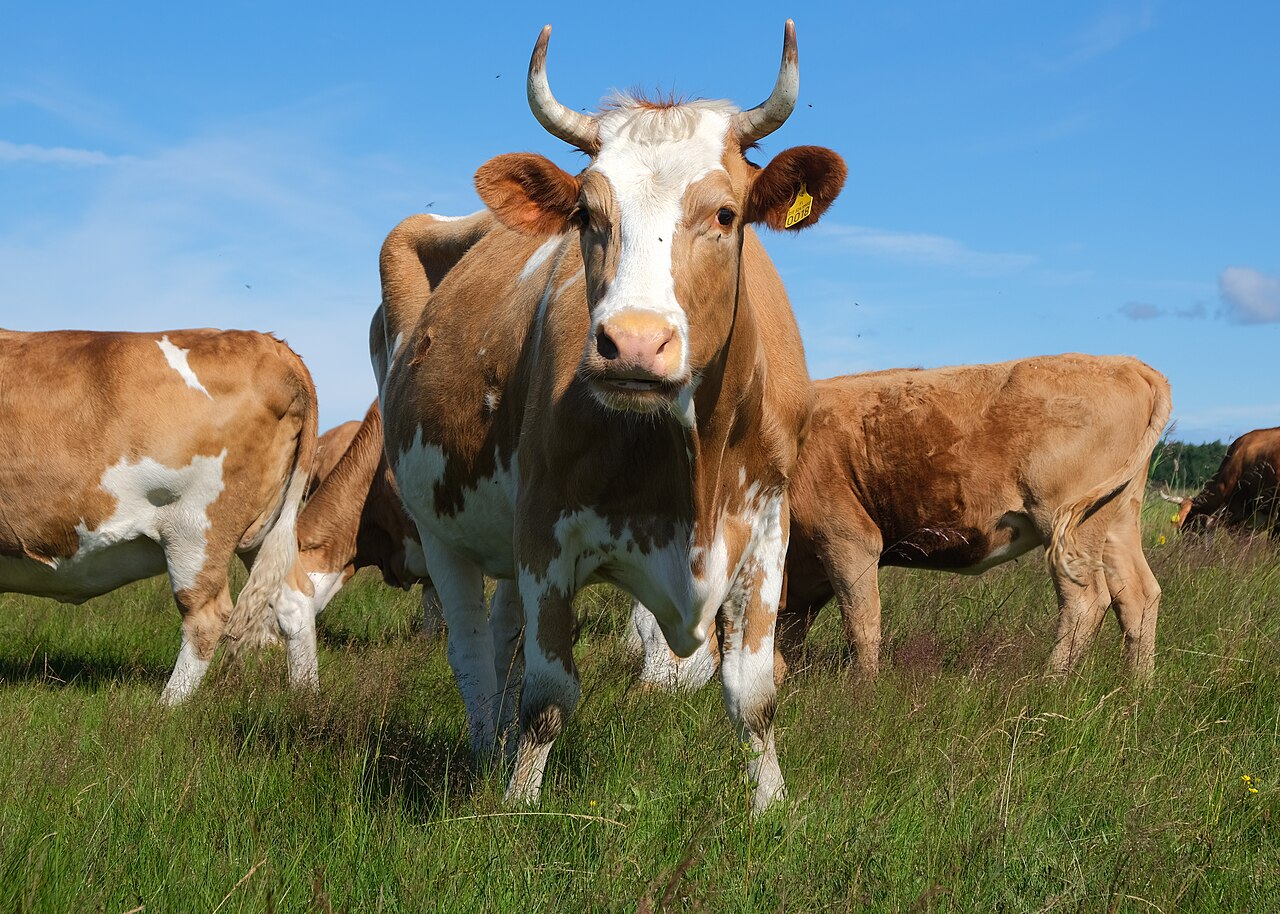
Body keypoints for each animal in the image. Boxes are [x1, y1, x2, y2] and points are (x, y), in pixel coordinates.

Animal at [0, 328, 319, 702]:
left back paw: (167, 706)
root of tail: (269, 343)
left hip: (195, 530)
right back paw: (305, 695)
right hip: (265, 531)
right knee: (296, 599)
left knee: (207, 616)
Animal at [360, 22, 847, 812]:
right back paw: (483, 754)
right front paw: (516, 807)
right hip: (444, 532)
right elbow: (550, 695)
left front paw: (772, 807)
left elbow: (753, 693)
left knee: (504, 636)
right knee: (472, 654)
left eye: (725, 214)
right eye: (587, 215)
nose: (635, 344)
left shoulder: (768, 523)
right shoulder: (545, 529)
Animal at [632, 354, 1172, 689]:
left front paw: (863, 690)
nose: (645, 691)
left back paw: (1049, 683)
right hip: (1116, 520)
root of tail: (1127, 365)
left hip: (1066, 519)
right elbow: (787, 627)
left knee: (1086, 599)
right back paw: (1137, 689)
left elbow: (862, 621)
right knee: (1137, 595)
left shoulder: (848, 537)